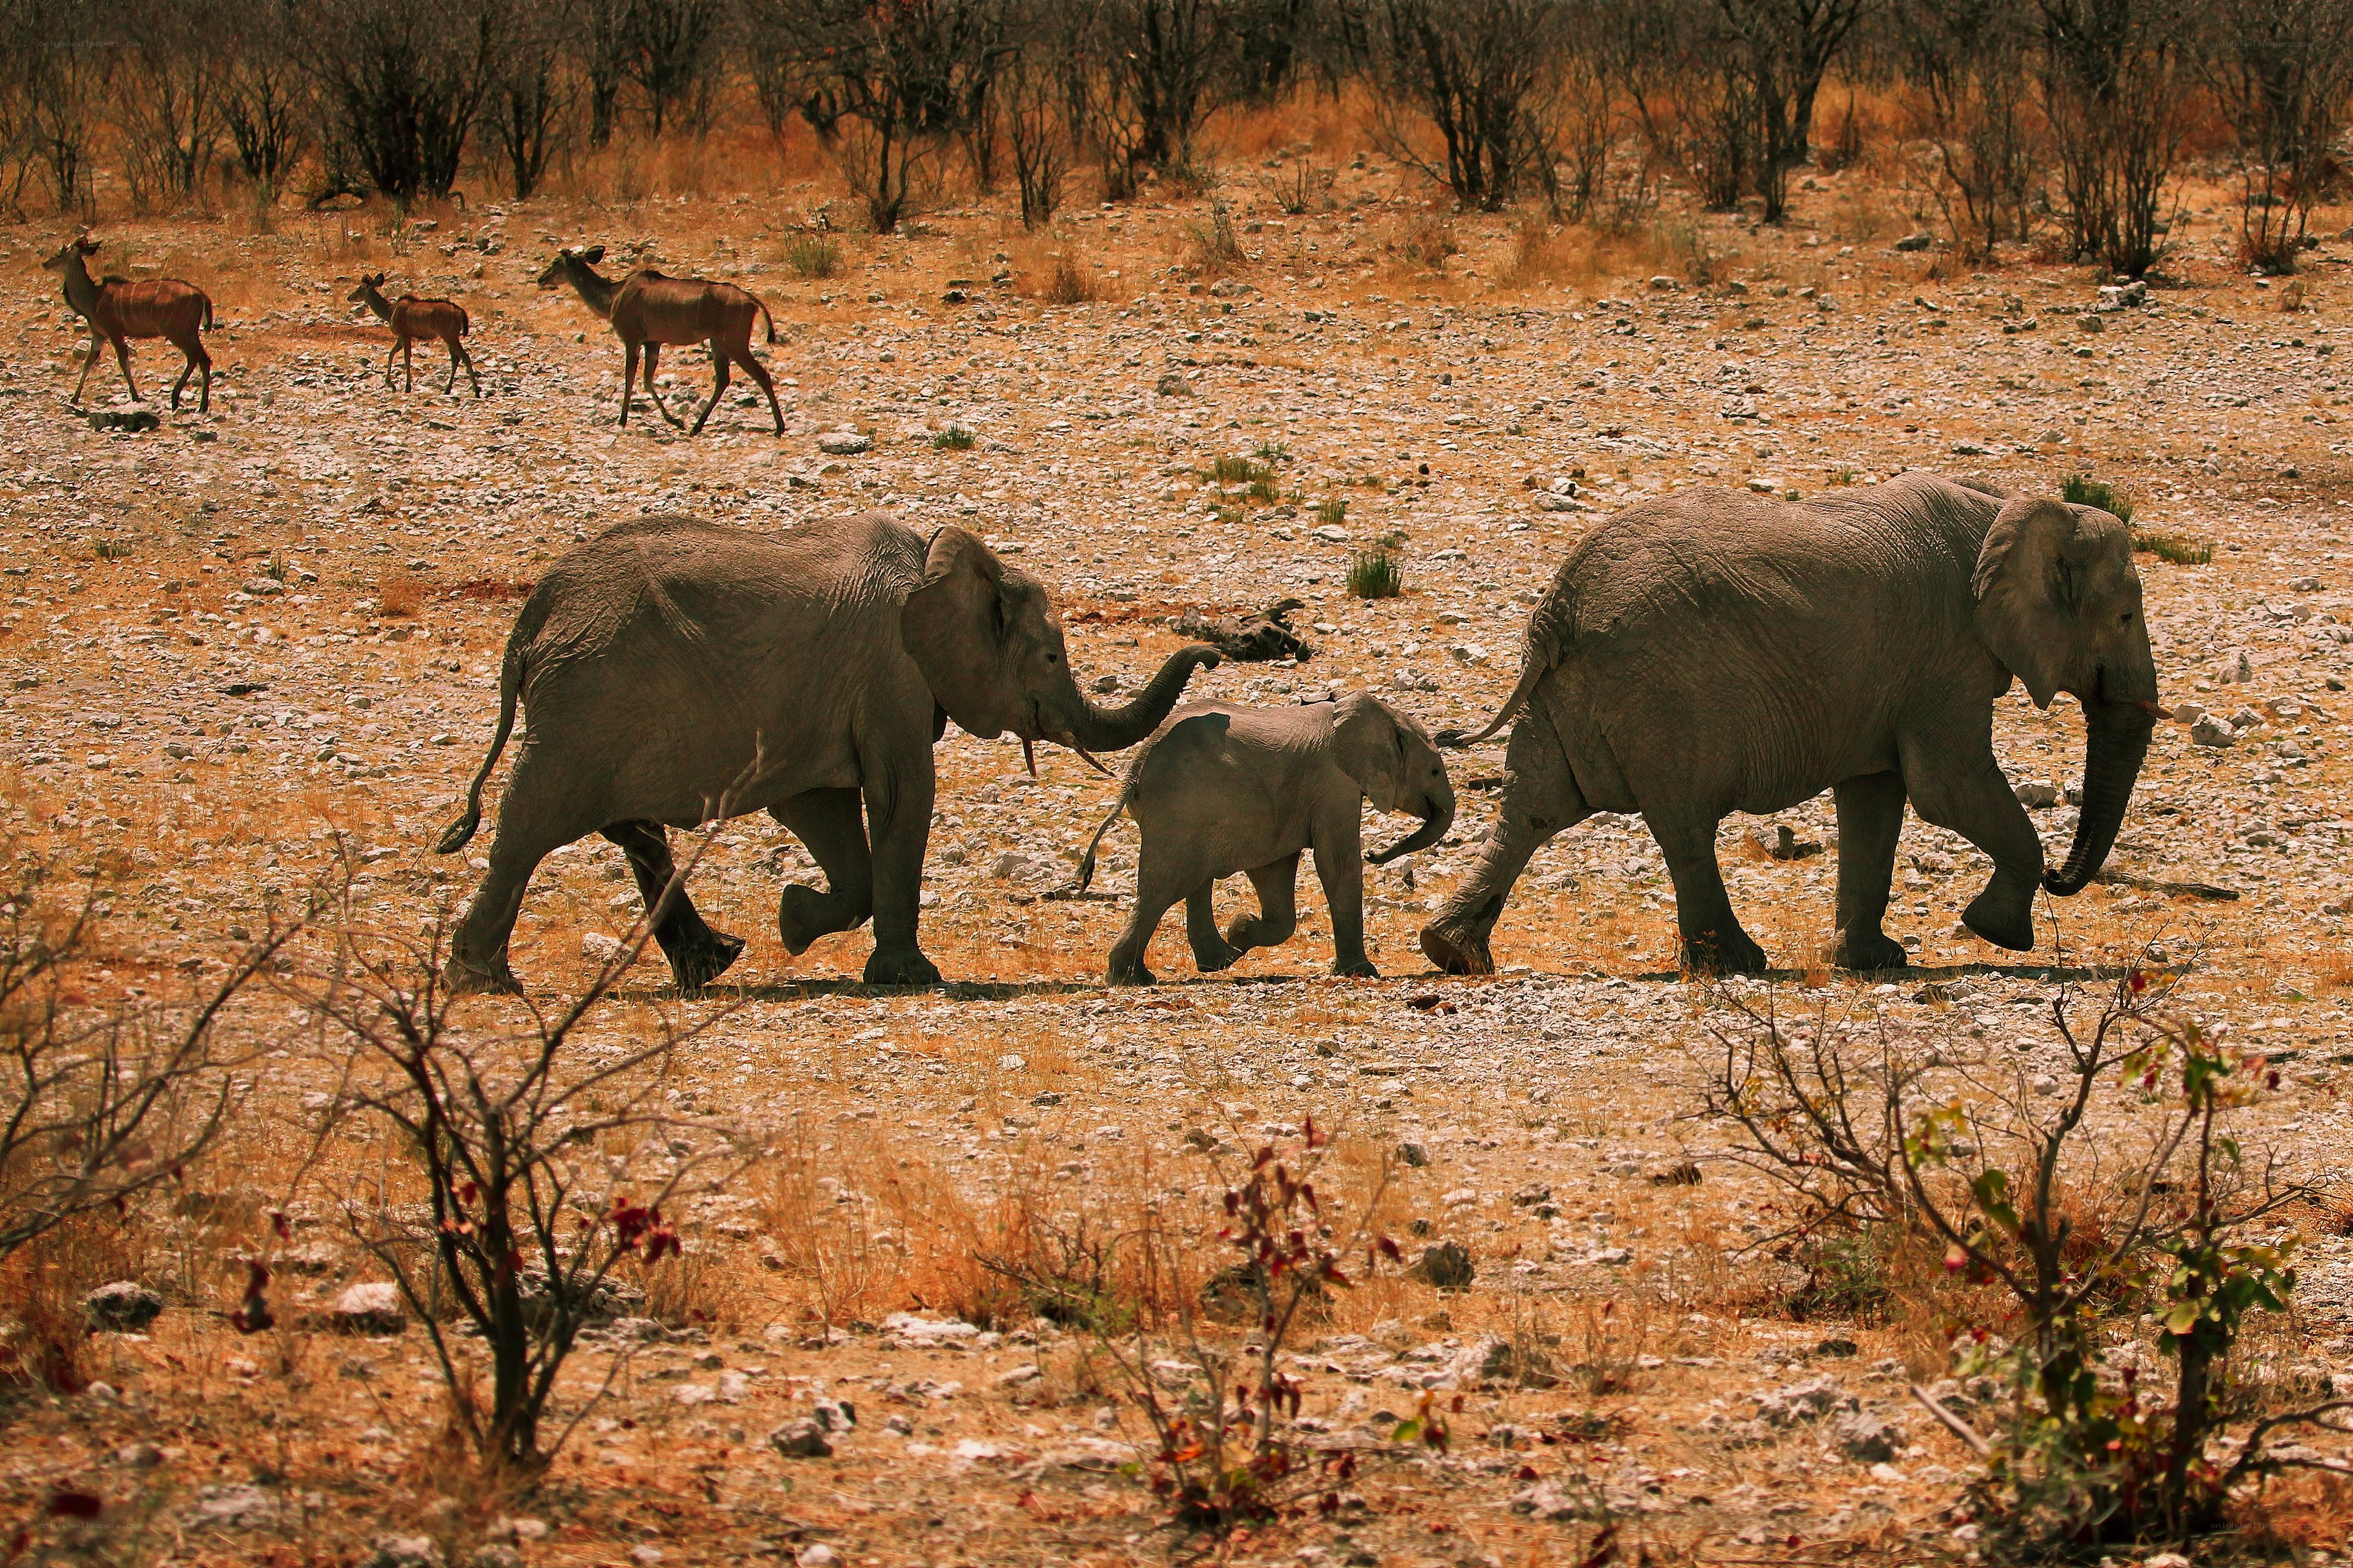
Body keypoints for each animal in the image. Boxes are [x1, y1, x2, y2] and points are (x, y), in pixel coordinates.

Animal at [433, 512, 1220, 993]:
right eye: (1051, 656)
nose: (1214, 652)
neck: (939, 560)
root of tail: (532, 616)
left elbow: (824, 812)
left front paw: (791, 920)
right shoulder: (891, 673)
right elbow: (902, 796)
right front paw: (910, 976)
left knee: (630, 829)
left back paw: (714, 963)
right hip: (587, 699)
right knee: (533, 820)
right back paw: (483, 980)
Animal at [1059, 692, 1456, 983]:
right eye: (1435, 771)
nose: (1376, 854)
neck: (1385, 717)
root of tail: (1136, 767)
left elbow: (1275, 871)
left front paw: (1241, 930)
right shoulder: (1334, 782)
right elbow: (1336, 863)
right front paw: (1362, 973)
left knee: (1192, 882)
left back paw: (1212, 961)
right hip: (1180, 810)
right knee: (1164, 888)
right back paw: (1133, 979)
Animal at [1418, 474, 2162, 976]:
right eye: (2125, 616)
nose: (2061, 878)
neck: (2007, 508)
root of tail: (1557, 606)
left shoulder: (1893, 679)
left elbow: (1875, 797)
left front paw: (1873, 961)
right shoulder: (1943, 660)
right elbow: (1944, 788)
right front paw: (1997, 933)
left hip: (1573, 690)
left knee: (1534, 808)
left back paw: (1451, 953)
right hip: (1659, 691)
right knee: (1683, 824)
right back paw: (1737, 963)